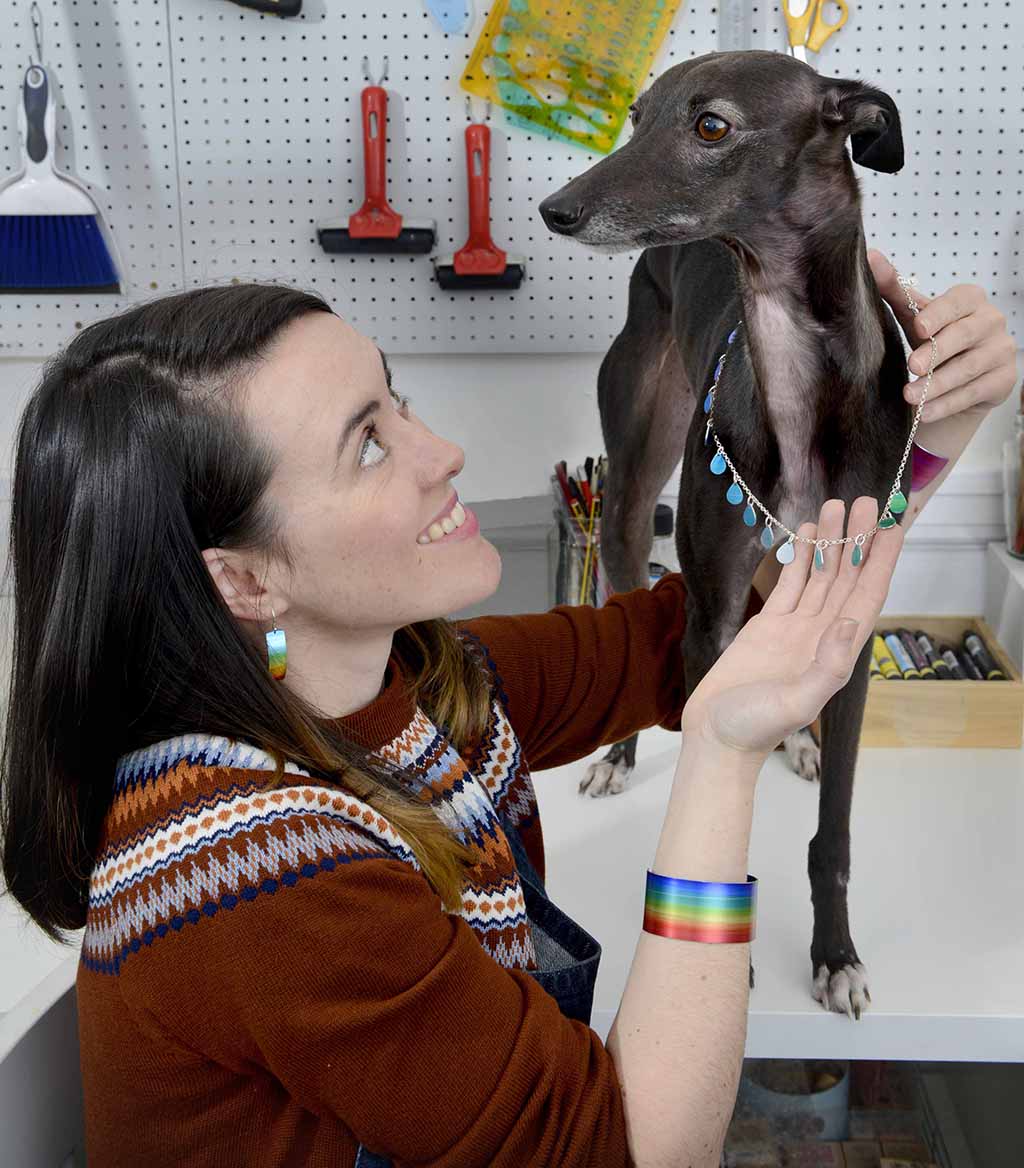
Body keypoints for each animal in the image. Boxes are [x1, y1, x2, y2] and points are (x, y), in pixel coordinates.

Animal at [539, 50, 906, 1013]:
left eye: (712, 126)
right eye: (634, 117)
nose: (557, 208)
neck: (802, 384)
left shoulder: (852, 625)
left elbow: (834, 834)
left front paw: (836, 954)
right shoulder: (710, 617)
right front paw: (718, 956)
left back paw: (799, 740)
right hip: (631, 494)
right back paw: (620, 757)